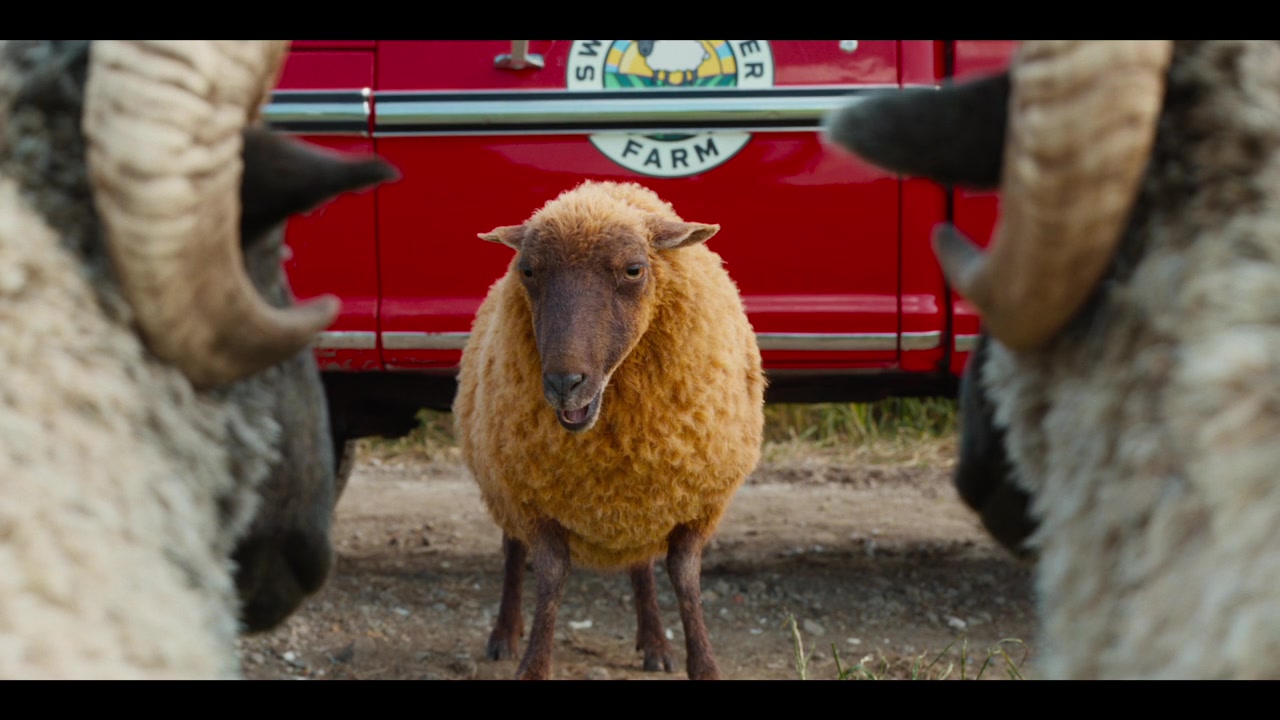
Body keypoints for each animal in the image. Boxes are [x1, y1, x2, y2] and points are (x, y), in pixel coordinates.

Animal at [454, 180, 765, 680]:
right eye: (528, 270)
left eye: (634, 270)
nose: (564, 383)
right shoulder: (533, 502)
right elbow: (551, 577)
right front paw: (532, 664)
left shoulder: (696, 504)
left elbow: (684, 578)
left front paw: (702, 664)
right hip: (503, 485)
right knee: (512, 552)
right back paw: (504, 633)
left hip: (641, 507)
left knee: (640, 566)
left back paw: (655, 641)